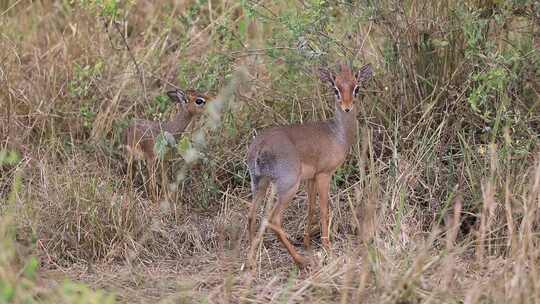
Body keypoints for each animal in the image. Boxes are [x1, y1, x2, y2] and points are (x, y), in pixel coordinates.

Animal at [248, 63, 372, 268]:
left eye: (356, 88)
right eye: (335, 89)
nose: (347, 107)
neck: (337, 134)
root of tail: (259, 147)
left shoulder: (310, 178)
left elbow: (310, 207)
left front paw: (307, 242)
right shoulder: (324, 174)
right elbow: (323, 210)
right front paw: (327, 246)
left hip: (260, 183)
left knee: (251, 214)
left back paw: (251, 259)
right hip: (288, 186)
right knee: (273, 219)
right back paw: (301, 261)